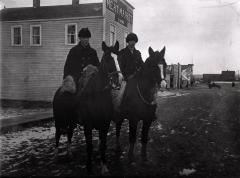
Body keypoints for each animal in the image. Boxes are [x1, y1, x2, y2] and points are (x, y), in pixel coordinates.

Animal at [77, 40, 120, 174]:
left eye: (119, 58)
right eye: (108, 59)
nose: (118, 82)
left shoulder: (105, 124)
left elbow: (103, 144)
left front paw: (104, 165)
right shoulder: (88, 124)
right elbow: (89, 146)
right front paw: (89, 167)